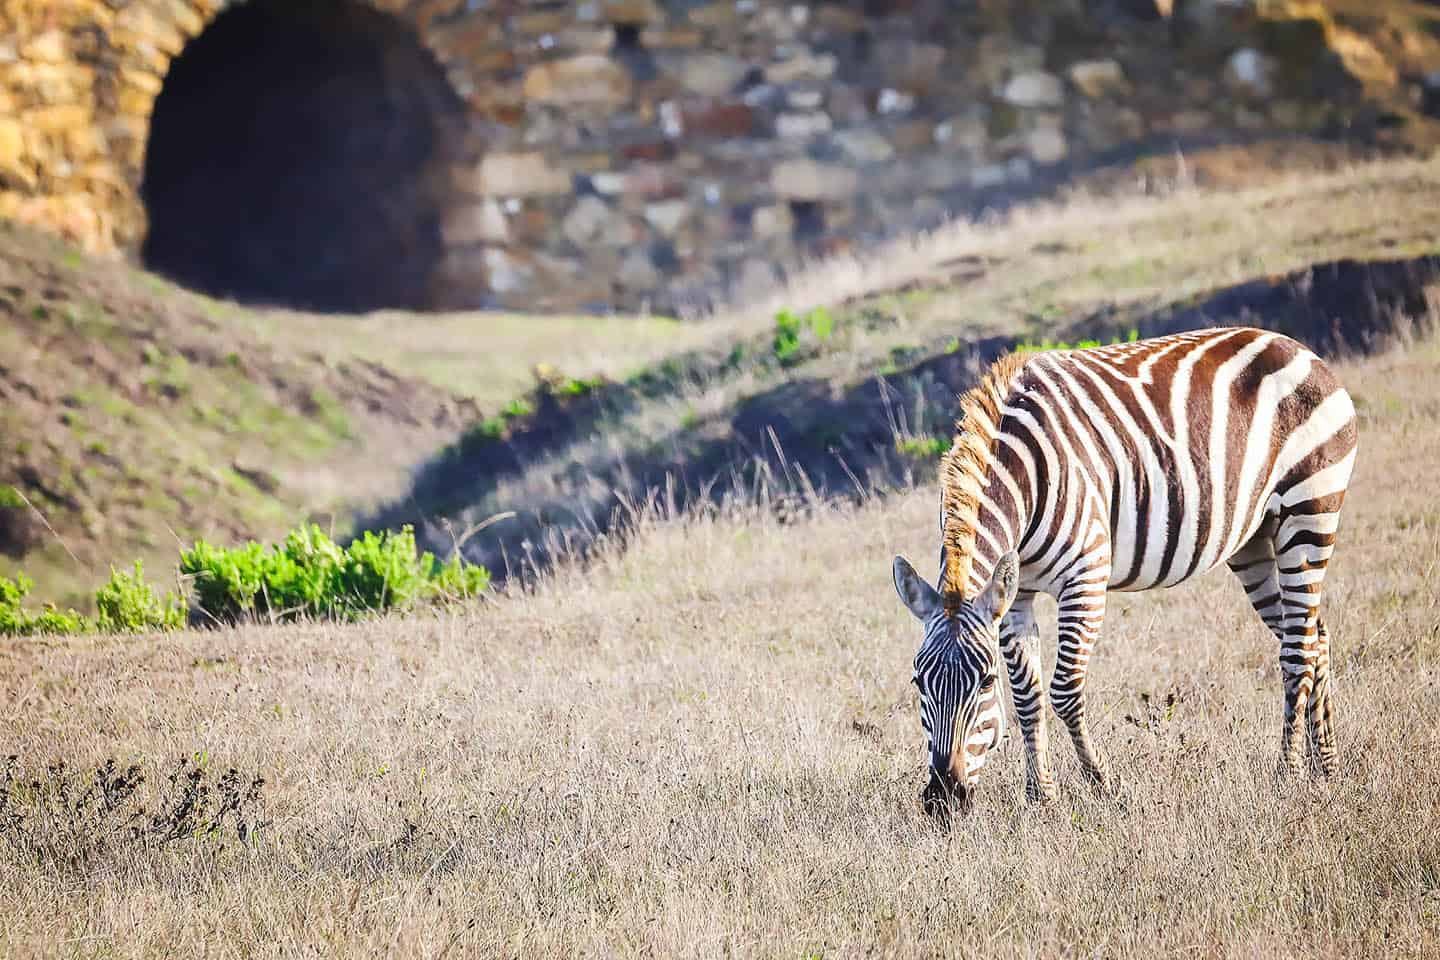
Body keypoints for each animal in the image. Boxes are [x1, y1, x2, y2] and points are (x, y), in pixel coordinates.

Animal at [887, 326, 1359, 817]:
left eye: (985, 682)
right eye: (918, 682)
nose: (943, 798)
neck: (1024, 476)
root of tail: (1297, 346)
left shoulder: (1086, 576)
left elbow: (1063, 691)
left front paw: (1103, 785)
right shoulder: (1016, 595)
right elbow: (1028, 697)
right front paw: (1042, 797)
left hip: (1309, 512)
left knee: (1297, 651)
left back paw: (1288, 773)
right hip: (1255, 541)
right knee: (1315, 636)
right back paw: (1326, 765)